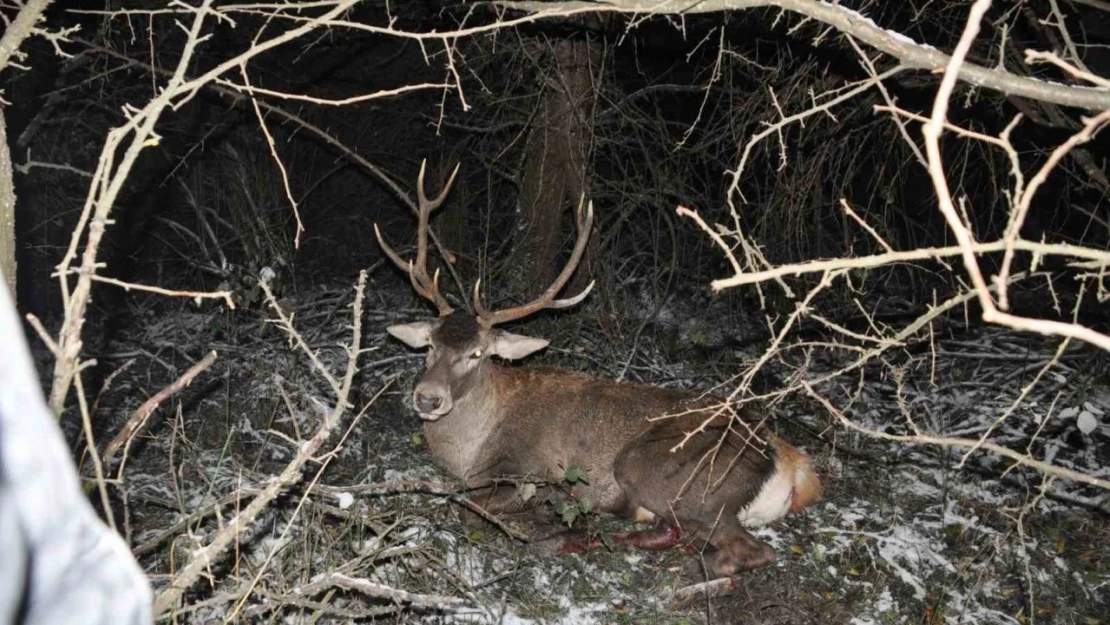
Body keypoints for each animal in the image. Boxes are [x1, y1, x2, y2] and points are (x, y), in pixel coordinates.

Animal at [377, 164, 821, 581]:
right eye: (430, 344)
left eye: (477, 353)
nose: (428, 398)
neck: (468, 453)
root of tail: (789, 463)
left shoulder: (530, 471)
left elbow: (467, 508)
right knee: (676, 531)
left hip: (659, 471)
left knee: (746, 549)